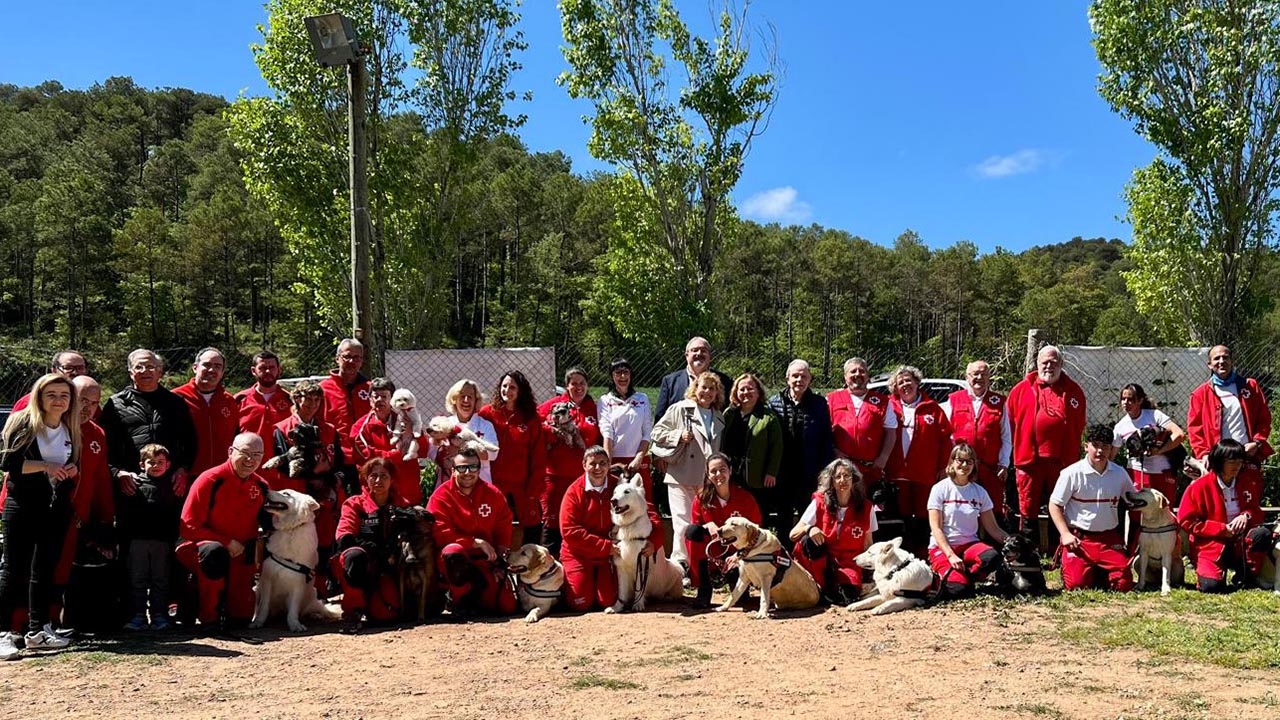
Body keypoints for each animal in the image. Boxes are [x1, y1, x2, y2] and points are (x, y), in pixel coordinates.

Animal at [250, 489, 340, 632]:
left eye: (286, 493)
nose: (265, 490)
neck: (290, 529)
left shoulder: (298, 583)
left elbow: (293, 610)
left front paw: (294, 625)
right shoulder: (267, 580)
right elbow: (263, 607)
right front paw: (258, 622)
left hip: (311, 593)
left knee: (312, 608)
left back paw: (315, 615)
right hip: (256, 589)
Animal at [605, 474, 684, 613]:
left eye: (626, 492)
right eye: (615, 492)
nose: (613, 501)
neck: (628, 525)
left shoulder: (640, 563)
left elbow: (639, 589)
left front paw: (638, 605)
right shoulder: (621, 567)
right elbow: (621, 591)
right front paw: (617, 607)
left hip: (676, 569)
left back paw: (668, 596)